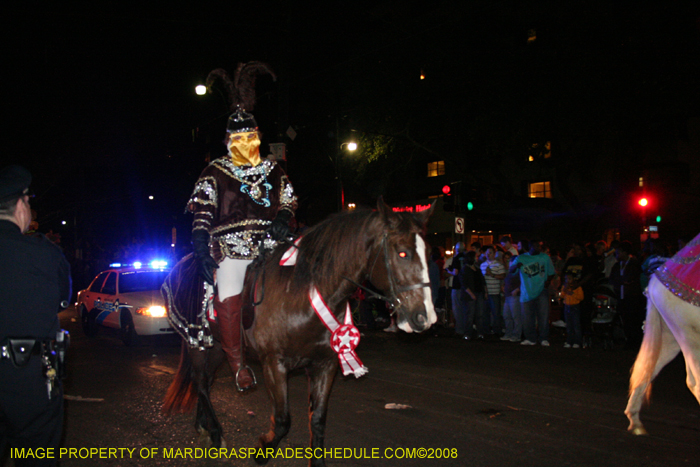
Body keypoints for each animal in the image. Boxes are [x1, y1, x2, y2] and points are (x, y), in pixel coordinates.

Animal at [162, 199, 434, 466]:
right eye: (402, 253)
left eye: (428, 252)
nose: (425, 317)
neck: (302, 294)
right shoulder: (274, 364)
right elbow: (283, 420)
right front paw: (263, 448)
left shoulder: (324, 365)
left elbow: (318, 420)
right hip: (197, 341)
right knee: (200, 381)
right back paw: (216, 432)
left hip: (218, 345)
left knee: (206, 380)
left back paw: (204, 427)